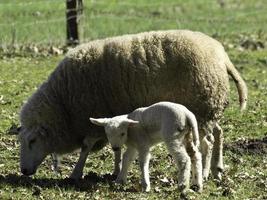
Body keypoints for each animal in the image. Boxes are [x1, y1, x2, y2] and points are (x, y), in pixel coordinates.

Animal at [16, 29, 248, 180]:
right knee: (218, 133)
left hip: (202, 108)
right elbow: (115, 147)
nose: (24, 171)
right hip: (209, 109)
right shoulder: (111, 117)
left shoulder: (91, 117)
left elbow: (86, 147)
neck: (63, 102)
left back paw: (207, 173)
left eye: (32, 141)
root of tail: (222, 55)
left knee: (207, 143)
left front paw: (76, 173)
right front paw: (116, 169)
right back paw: (217, 169)